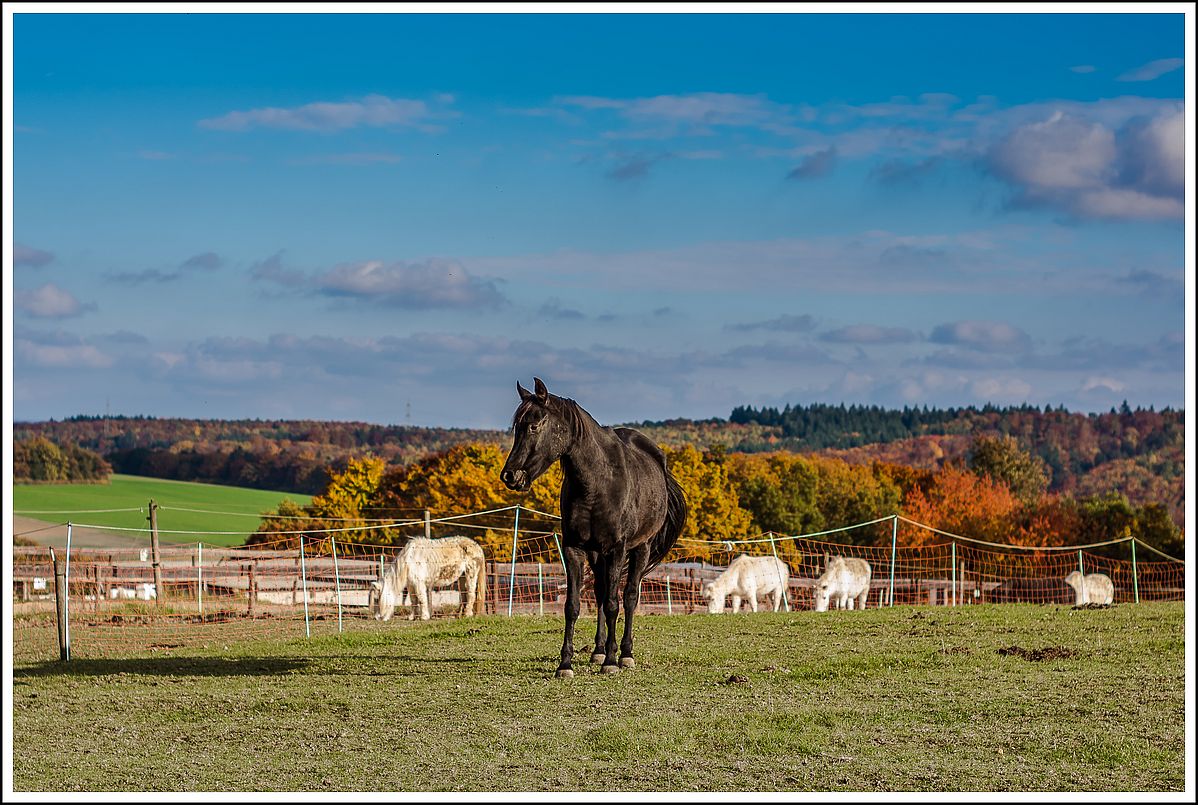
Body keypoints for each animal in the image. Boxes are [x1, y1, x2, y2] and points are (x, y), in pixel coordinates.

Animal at [500, 378, 685, 680]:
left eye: (534, 425)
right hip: (597, 554)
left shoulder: (617, 549)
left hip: (640, 548)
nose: (510, 475)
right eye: (517, 427)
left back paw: (625, 654)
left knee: (629, 597)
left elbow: (613, 603)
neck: (597, 481)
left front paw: (612, 661)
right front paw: (566, 664)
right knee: (599, 592)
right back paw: (598, 650)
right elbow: (573, 605)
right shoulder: (575, 548)